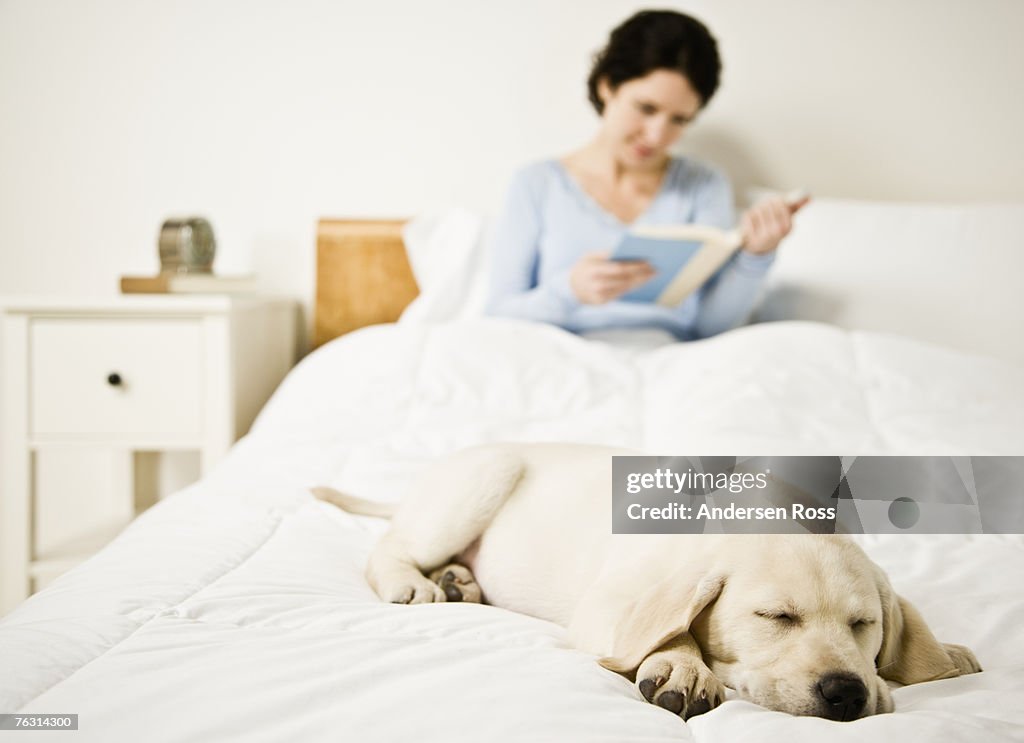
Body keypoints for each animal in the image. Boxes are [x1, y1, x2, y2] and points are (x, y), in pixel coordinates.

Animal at [313, 442, 983, 720]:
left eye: (862, 625)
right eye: (775, 618)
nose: (846, 693)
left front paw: (941, 651)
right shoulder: (606, 605)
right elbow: (665, 629)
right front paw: (682, 666)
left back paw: (459, 580)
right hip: (480, 481)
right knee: (390, 546)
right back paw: (416, 580)